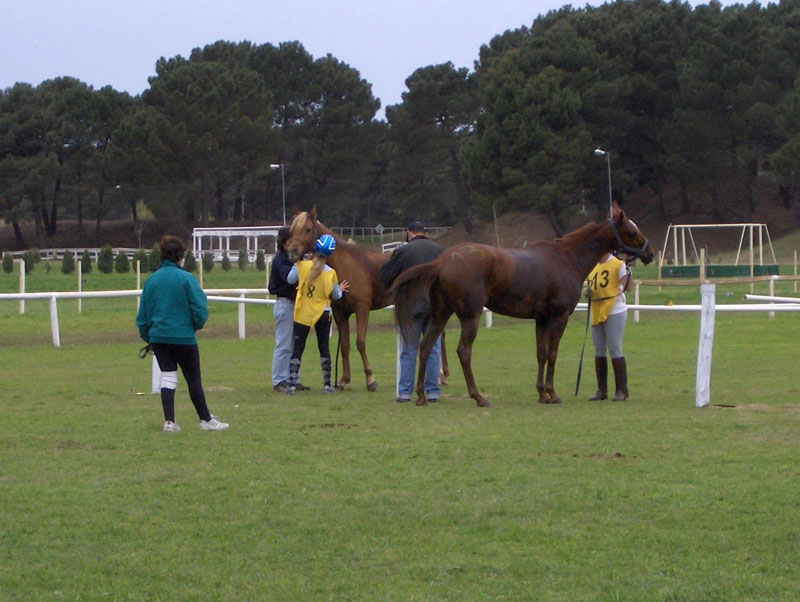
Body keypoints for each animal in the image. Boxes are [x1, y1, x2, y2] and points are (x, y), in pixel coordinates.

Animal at [390, 204, 652, 406]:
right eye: (632, 230)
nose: (649, 253)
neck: (566, 259)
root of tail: (441, 261)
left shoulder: (541, 319)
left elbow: (541, 353)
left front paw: (542, 394)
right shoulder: (559, 317)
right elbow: (553, 353)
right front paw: (552, 393)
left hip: (441, 314)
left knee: (425, 346)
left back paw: (422, 396)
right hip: (470, 317)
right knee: (464, 351)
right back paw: (478, 397)